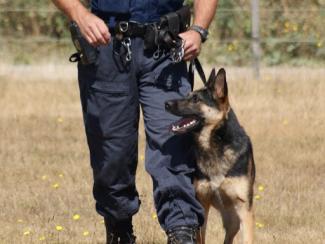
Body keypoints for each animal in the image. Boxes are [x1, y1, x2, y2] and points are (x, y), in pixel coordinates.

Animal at [166, 68, 254, 244]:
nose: (166, 103)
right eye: (187, 95)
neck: (215, 146)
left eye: (195, 99)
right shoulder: (202, 205)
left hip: (234, 221)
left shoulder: (244, 209)